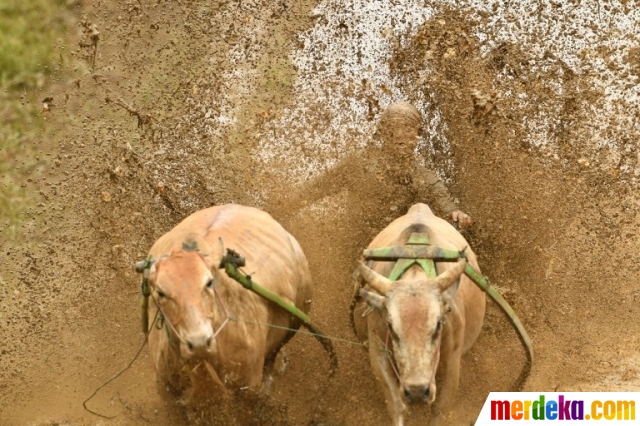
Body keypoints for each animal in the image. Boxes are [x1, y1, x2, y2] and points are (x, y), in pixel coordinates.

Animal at [350, 204, 484, 426]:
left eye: (438, 325)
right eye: (391, 327)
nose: (417, 391)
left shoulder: (452, 363)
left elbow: (439, 410)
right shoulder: (377, 349)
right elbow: (397, 406)